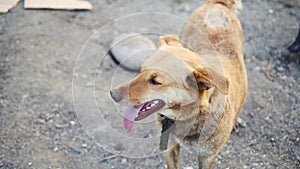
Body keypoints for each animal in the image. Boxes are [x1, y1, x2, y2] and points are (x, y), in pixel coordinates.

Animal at [109, 0, 246, 168]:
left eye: (155, 81)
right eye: (141, 70)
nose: (113, 94)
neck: (193, 115)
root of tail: (218, 4)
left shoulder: (208, 156)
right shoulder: (170, 146)